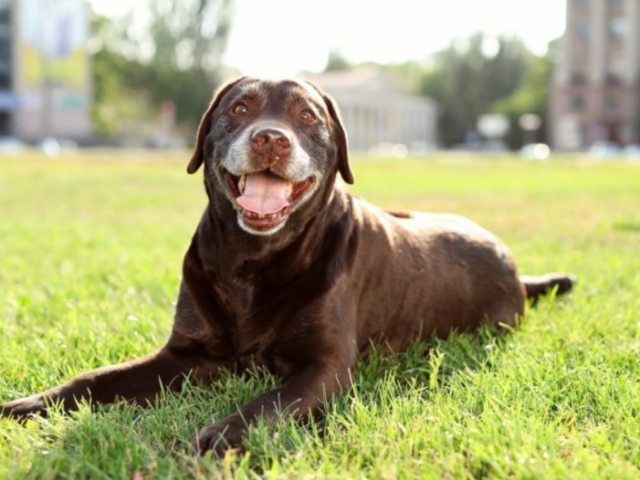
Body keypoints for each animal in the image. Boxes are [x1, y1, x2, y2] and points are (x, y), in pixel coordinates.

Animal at [0, 78, 576, 454]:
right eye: (239, 108)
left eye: (307, 118)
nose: (270, 138)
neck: (252, 262)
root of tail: (515, 270)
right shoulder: (184, 355)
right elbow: (92, 381)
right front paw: (29, 404)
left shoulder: (324, 366)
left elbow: (268, 402)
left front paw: (224, 435)